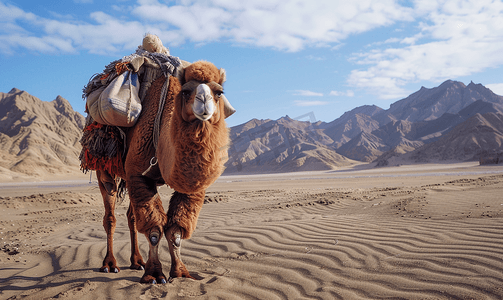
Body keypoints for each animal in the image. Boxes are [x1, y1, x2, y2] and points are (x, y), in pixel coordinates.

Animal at [94, 59, 232, 284]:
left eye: (219, 92)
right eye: (186, 91)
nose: (204, 102)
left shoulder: (187, 185)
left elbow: (175, 231)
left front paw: (181, 272)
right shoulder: (138, 173)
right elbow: (154, 230)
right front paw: (154, 275)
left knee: (132, 216)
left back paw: (137, 261)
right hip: (105, 166)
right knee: (110, 215)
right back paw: (110, 264)